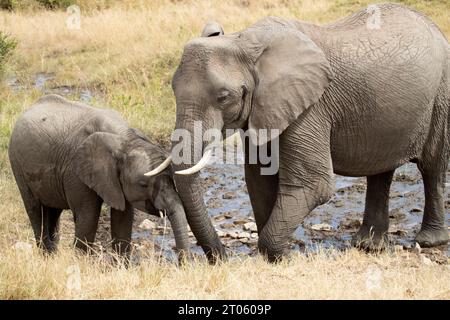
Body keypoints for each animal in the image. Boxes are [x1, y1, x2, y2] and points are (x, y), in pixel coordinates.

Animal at [8, 94, 188, 258]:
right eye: (143, 184)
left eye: (173, 181)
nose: (181, 262)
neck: (124, 138)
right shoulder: (76, 170)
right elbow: (88, 217)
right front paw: (81, 263)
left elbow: (123, 219)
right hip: (17, 164)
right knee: (35, 210)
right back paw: (46, 256)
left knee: (53, 211)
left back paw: (51, 257)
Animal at [147, 3, 446, 262]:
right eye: (173, 90)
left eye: (223, 97)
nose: (221, 258)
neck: (243, 42)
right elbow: (259, 180)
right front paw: (278, 255)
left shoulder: (310, 108)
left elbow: (314, 184)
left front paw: (282, 257)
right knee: (380, 169)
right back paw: (368, 245)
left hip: (442, 92)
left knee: (431, 166)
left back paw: (429, 240)